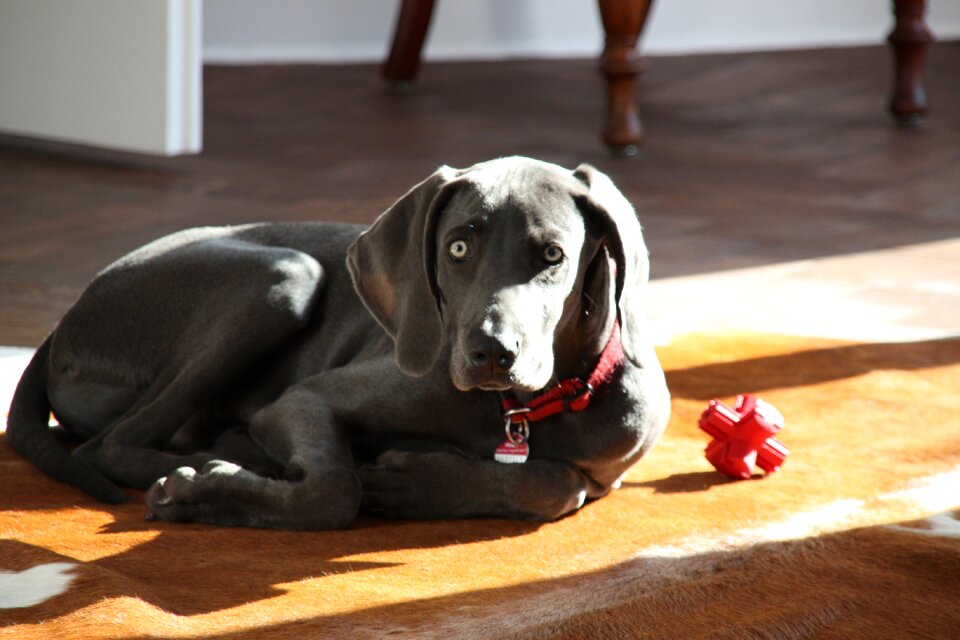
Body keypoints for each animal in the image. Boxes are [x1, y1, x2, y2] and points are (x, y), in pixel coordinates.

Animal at [5, 156, 668, 528]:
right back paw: (235, 462)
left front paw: (420, 484)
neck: (518, 411)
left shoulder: (610, 465)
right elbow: (335, 489)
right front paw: (199, 495)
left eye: (553, 256)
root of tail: (65, 320)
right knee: (111, 446)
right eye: (457, 247)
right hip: (282, 275)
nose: (490, 355)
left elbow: (560, 484)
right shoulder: (305, 400)